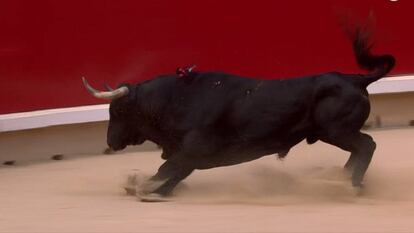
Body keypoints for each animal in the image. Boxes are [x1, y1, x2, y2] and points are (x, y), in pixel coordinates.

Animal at [81, 27, 394, 198]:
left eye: (119, 110)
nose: (110, 141)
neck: (175, 100)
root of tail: (355, 79)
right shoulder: (190, 156)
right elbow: (172, 175)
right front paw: (153, 191)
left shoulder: (193, 150)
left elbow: (166, 170)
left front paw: (140, 188)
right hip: (334, 133)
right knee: (361, 149)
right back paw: (344, 179)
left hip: (337, 131)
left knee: (367, 145)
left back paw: (351, 184)